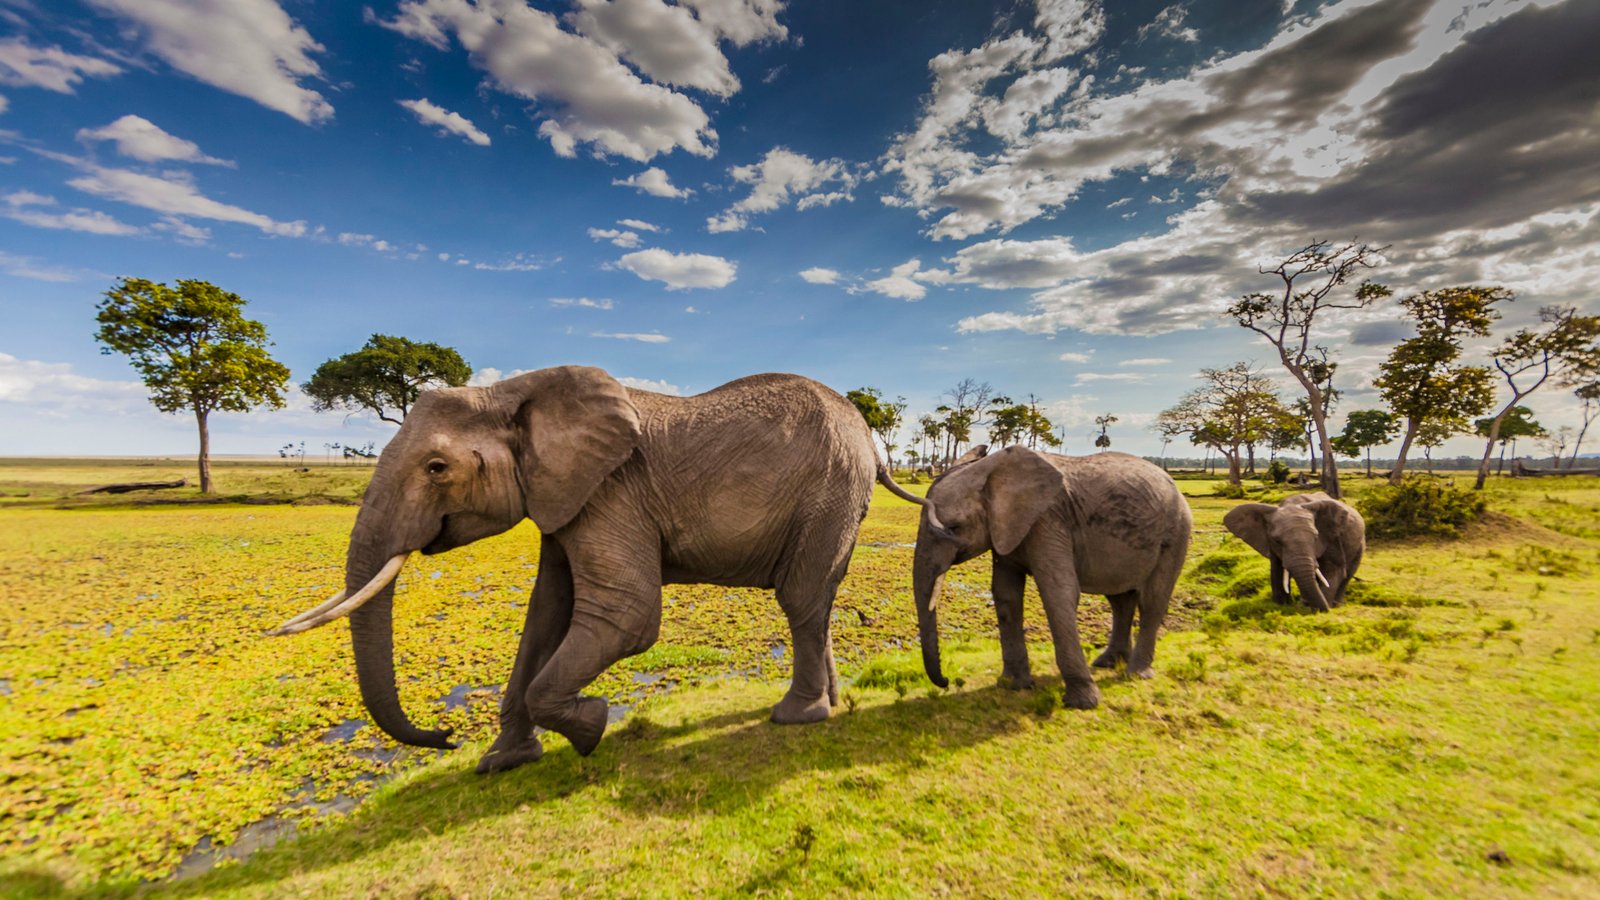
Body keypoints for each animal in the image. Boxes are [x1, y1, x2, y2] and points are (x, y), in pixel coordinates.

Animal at [272, 365, 928, 771]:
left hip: (829, 491)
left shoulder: (611, 491)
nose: (445, 737)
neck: (509, 392)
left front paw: (591, 729)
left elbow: (626, 615)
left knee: (800, 597)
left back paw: (796, 718)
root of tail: (869, 438)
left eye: (436, 468)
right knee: (816, 601)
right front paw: (501, 763)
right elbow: (545, 614)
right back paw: (830, 707)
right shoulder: (563, 497)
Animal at [908, 441, 1196, 707]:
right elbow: (1005, 594)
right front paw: (1012, 686)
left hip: (1177, 531)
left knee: (1152, 600)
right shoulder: (1007, 529)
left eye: (955, 527)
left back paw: (1135, 674)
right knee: (1119, 600)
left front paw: (1082, 703)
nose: (946, 681)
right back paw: (1107, 662)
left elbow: (1058, 591)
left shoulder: (1048, 519)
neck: (991, 470)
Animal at [1222, 490, 1363, 608]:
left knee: (1348, 573)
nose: (1324, 609)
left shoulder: (1331, 539)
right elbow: (1277, 570)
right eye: (1276, 540)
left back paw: (1336, 605)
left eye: (1316, 537)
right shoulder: (1270, 544)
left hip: (1359, 544)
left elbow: (1333, 570)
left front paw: (1322, 608)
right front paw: (1281, 605)